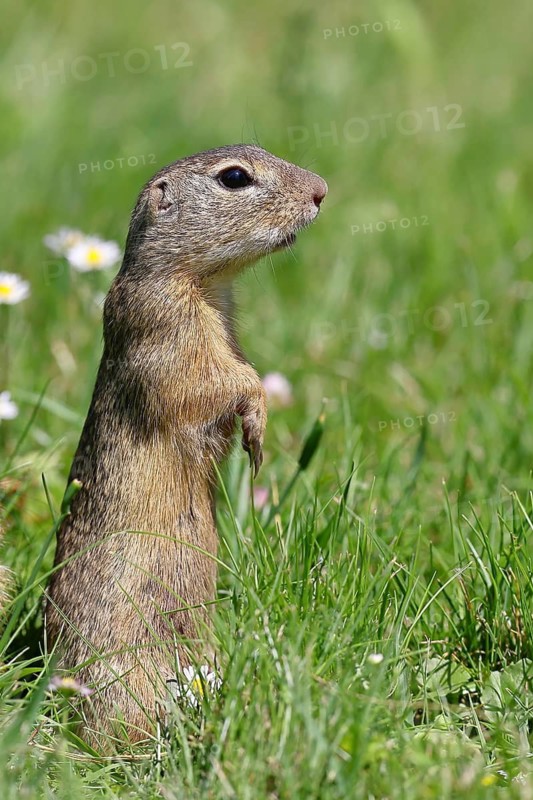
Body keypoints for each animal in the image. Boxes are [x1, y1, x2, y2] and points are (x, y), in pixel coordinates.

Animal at [45, 144, 327, 748]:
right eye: (235, 177)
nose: (321, 190)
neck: (205, 283)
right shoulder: (166, 326)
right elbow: (212, 381)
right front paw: (257, 420)